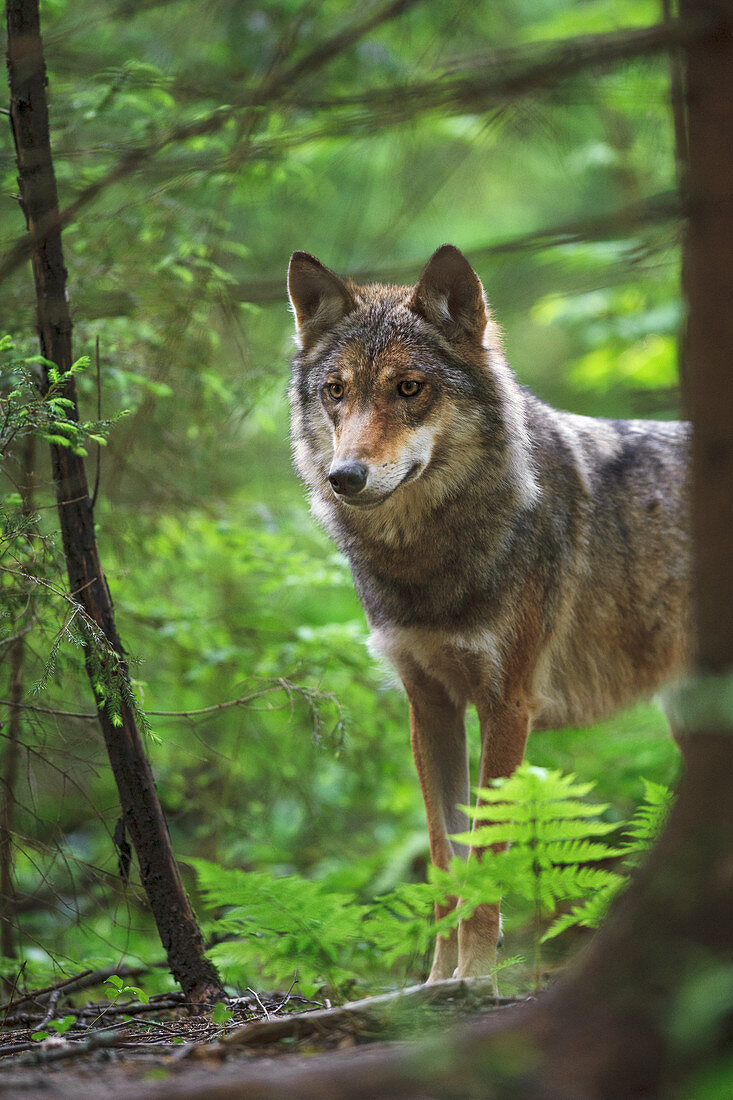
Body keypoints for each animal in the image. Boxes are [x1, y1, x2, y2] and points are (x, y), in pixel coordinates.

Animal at [286, 245, 691, 985]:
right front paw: (435, 985)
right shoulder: (429, 708)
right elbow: (446, 860)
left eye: (409, 388)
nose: (344, 477)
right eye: (335, 390)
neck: (425, 561)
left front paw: (475, 980)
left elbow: (487, 858)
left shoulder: (508, 704)